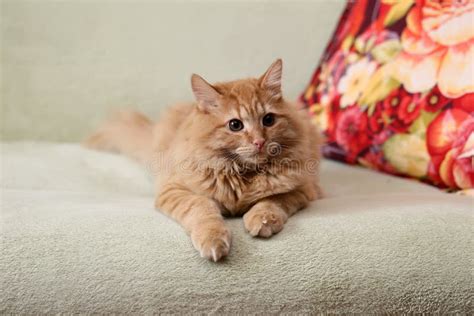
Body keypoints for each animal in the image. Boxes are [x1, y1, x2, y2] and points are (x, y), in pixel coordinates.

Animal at [85, 59, 322, 262]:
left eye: (269, 120)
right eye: (235, 125)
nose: (259, 142)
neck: (241, 173)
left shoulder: (302, 189)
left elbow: (272, 201)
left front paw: (262, 219)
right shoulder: (174, 190)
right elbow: (202, 208)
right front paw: (213, 239)